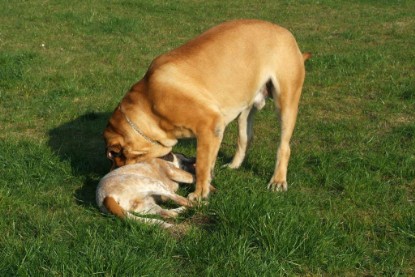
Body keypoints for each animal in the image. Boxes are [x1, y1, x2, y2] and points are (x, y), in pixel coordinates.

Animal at [104, 20, 312, 201]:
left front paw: (199, 194)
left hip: (286, 101)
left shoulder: (208, 125)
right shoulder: (214, 132)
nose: (111, 173)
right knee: (245, 139)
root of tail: (287, 34)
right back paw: (234, 165)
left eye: (114, 156)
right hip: (245, 109)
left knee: (284, 146)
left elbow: (203, 164)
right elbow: (209, 161)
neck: (149, 103)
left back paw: (278, 180)